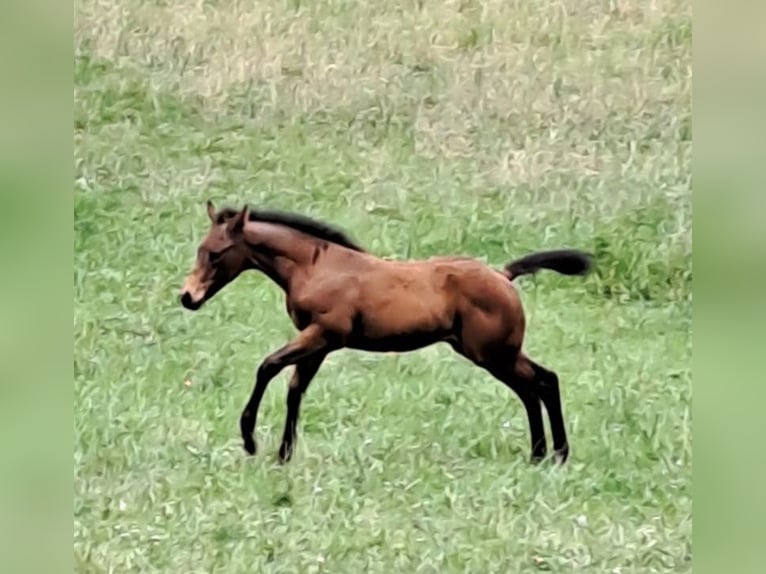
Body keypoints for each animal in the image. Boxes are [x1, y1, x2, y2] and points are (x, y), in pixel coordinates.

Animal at [180, 201, 594, 465]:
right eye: (200, 248)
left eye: (216, 253)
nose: (188, 297)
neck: (316, 266)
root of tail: (504, 275)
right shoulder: (319, 344)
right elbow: (296, 390)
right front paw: (284, 455)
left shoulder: (323, 334)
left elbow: (268, 367)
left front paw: (250, 440)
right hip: (496, 352)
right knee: (542, 382)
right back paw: (548, 455)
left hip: (492, 354)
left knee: (535, 384)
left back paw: (549, 454)